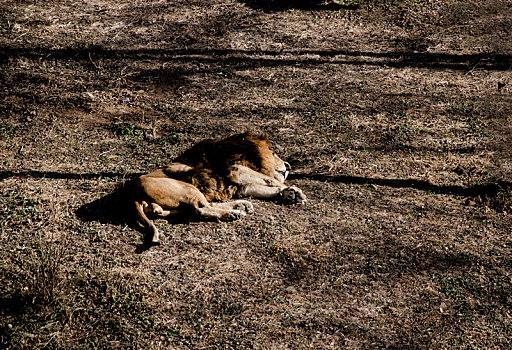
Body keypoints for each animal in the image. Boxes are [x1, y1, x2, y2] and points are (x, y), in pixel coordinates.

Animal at [130, 131, 306, 243]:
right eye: (274, 153)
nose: (288, 166)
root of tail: (133, 195)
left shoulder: (241, 184)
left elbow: (266, 187)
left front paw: (289, 194)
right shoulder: (235, 170)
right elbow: (270, 180)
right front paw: (295, 191)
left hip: (176, 204)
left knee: (203, 206)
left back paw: (241, 206)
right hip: (187, 188)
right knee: (200, 209)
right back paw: (234, 213)